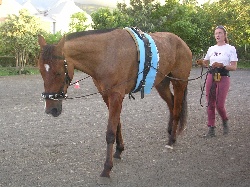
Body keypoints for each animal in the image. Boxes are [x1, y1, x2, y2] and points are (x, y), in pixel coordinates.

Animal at [38, 28, 192, 178]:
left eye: (58, 72)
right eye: (41, 72)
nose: (51, 109)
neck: (106, 54)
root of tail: (181, 42)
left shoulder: (116, 96)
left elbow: (110, 132)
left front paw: (107, 167)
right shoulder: (106, 96)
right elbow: (117, 124)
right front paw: (119, 150)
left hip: (179, 83)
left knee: (177, 109)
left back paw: (172, 139)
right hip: (162, 84)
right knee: (172, 104)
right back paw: (171, 131)